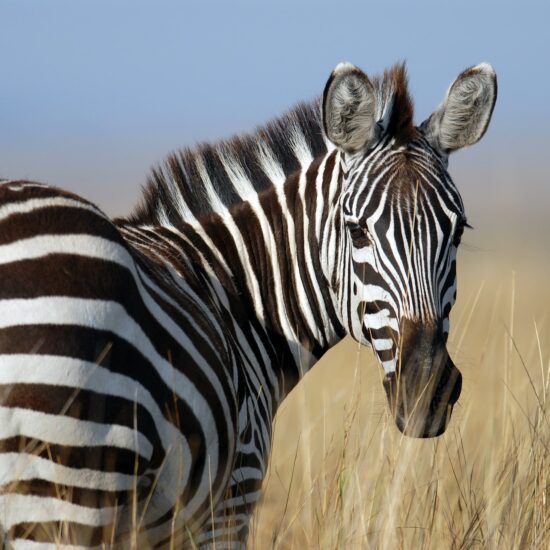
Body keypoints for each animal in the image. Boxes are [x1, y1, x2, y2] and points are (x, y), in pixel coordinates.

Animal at [0, 62, 498, 548]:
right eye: (357, 232)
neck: (238, 296)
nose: (427, 391)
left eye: (458, 231)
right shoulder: (230, 500)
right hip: (62, 499)